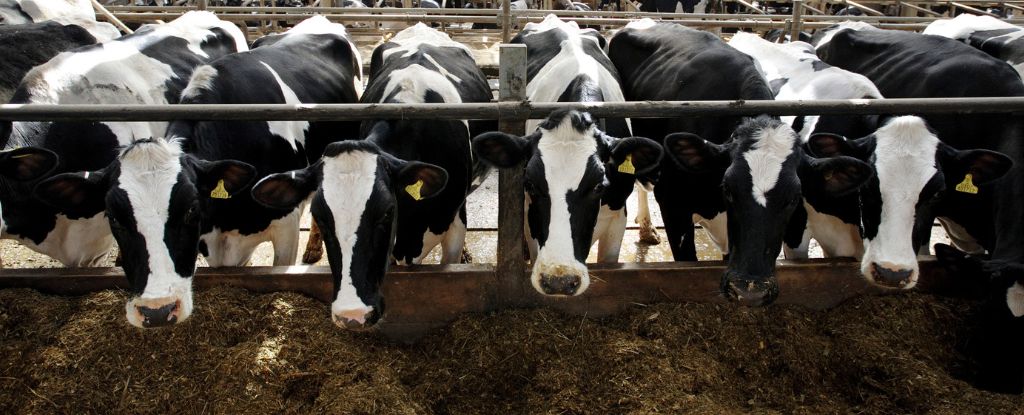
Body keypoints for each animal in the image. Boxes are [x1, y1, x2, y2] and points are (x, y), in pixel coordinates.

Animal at [469, 15, 663, 298]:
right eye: (530, 184)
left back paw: (648, 230)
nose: (560, 281)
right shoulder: (531, 217)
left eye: (599, 186)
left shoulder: (617, 217)